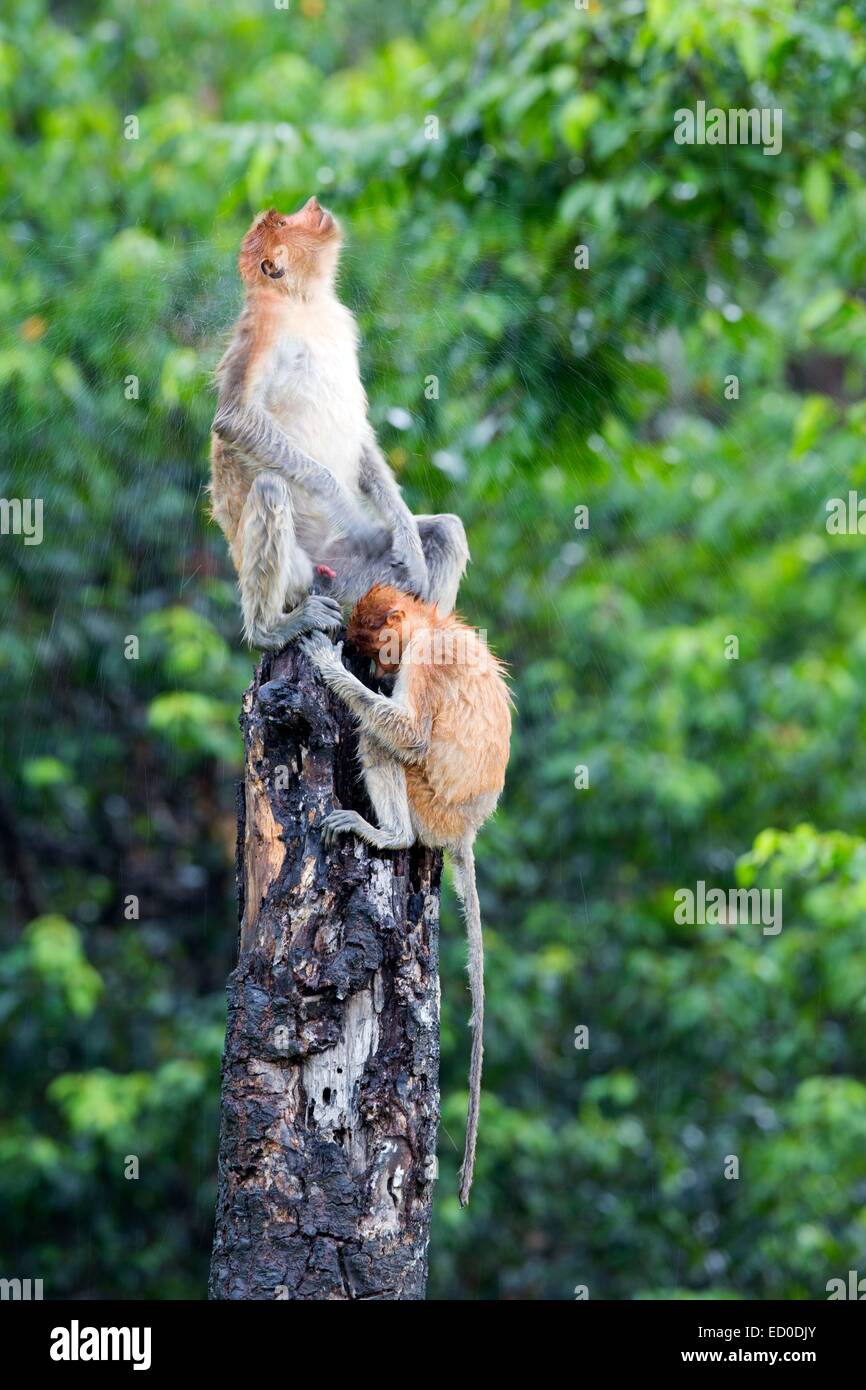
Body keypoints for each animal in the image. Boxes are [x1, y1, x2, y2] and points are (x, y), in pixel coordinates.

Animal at [209, 198, 467, 647]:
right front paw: (345, 506)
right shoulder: (263, 325)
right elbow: (234, 417)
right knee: (271, 486)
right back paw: (269, 630)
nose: (312, 206)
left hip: (350, 576)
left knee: (446, 531)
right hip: (299, 573)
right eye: (284, 222)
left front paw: (407, 539)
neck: (302, 301)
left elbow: (360, 435)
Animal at [301, 586, 511, 1206]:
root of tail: (464, 830)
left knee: (380, 739)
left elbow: (410, 733)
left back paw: (389, 835)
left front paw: (324, 661)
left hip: (428, 802)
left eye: (381, 647)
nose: (381, 670)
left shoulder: (426, 661)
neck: (432, 624)